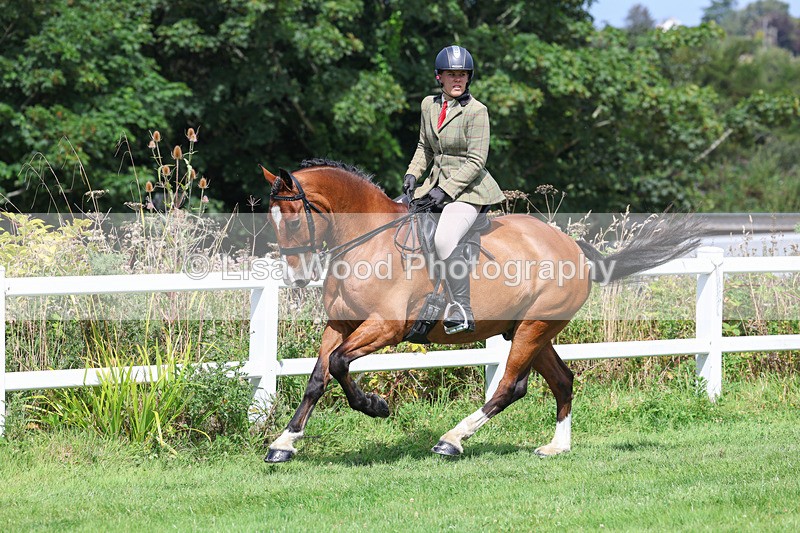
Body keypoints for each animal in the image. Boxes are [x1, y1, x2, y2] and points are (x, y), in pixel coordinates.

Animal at [260, 159, 700, 462]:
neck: (367, 240)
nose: (296, 280)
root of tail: (573, 248)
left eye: (294, 222)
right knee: (562, 380)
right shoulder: (340, 323)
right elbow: (318, 377)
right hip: (528, 330)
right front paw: (283, 443)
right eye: (271, 220)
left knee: (510, 387)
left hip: (534, 328)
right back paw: (556, 447)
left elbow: (338, 364)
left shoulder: (387, 327)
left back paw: (452, 439)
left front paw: (375, 406)